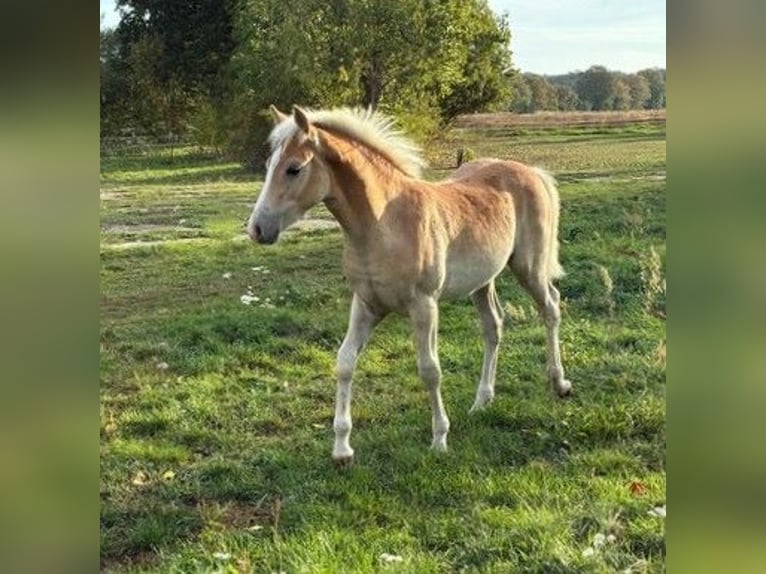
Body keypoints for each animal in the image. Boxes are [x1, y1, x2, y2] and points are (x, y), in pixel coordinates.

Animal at [247, 105, 572, 464]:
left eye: (294, 168)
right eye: (268, 166)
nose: (257, 229)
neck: (384, 224)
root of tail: (532, 171)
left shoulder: (424, 306)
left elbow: (430, 369)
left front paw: (440, 438)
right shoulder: (366, 304)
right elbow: (345, 362)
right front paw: (342, 447)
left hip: (529, 267)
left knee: (551, 307)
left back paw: (559, 383)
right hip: (482, 281)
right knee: (493, 327)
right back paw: (481, 401)